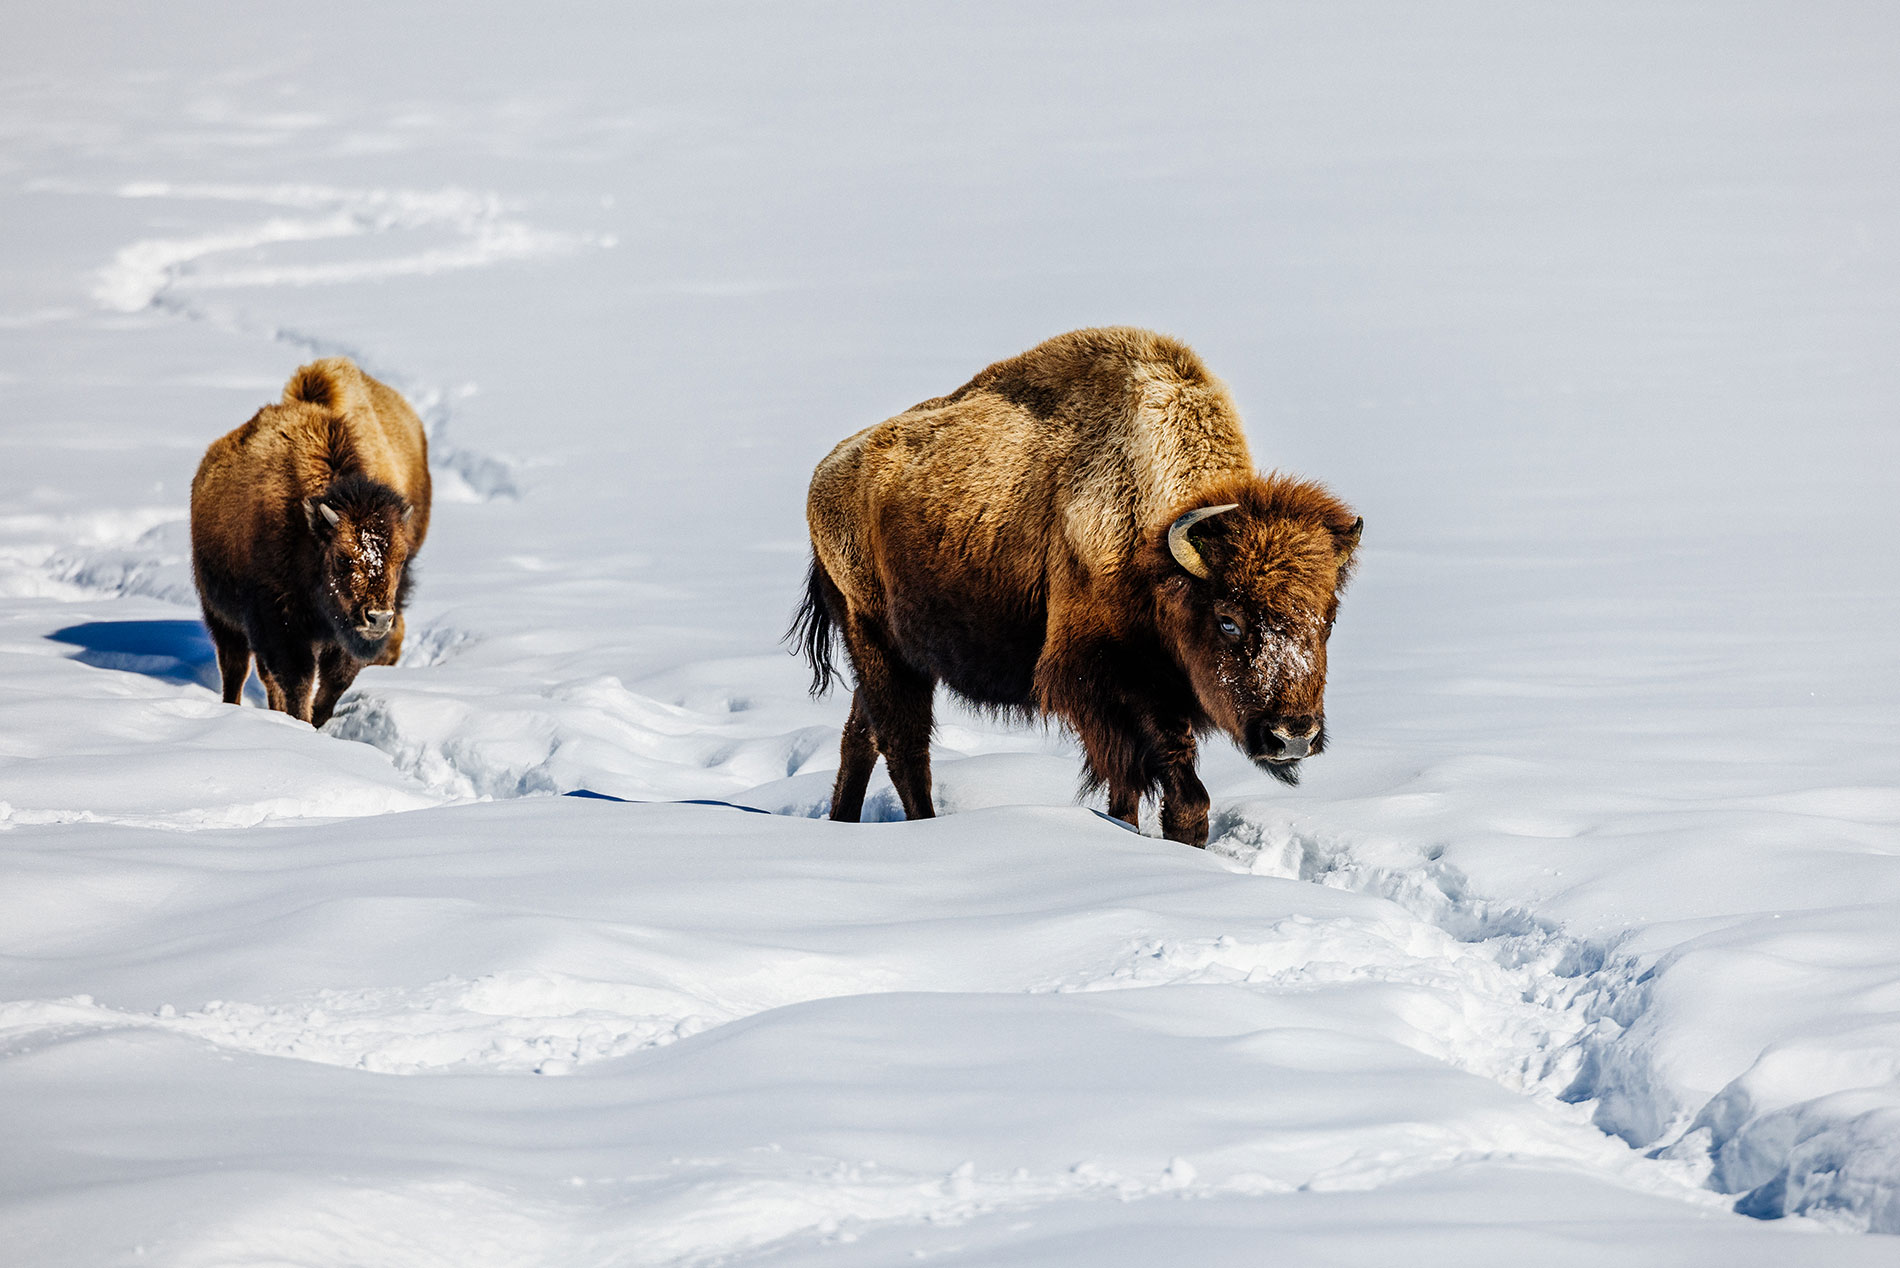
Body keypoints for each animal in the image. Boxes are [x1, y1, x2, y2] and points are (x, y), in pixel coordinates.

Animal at [190, 357, 432, 727]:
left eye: (401, 559)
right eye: (343, 558)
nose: (378, 618)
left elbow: (333, 683)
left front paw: (316, 723)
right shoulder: (280, 626)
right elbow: (298, 683)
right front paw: (300, 724)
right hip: (219, 613)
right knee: (235, 669)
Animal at [793, 327, 1360, 846]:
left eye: (1330, 618)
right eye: (1228, 620)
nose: (1293, 734)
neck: (1157, 549)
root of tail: (826, 471)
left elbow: (1129, 795)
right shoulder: (1110, 688)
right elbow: (1184, 798)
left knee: (861, 737)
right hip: (879, 643)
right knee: (905, 747)